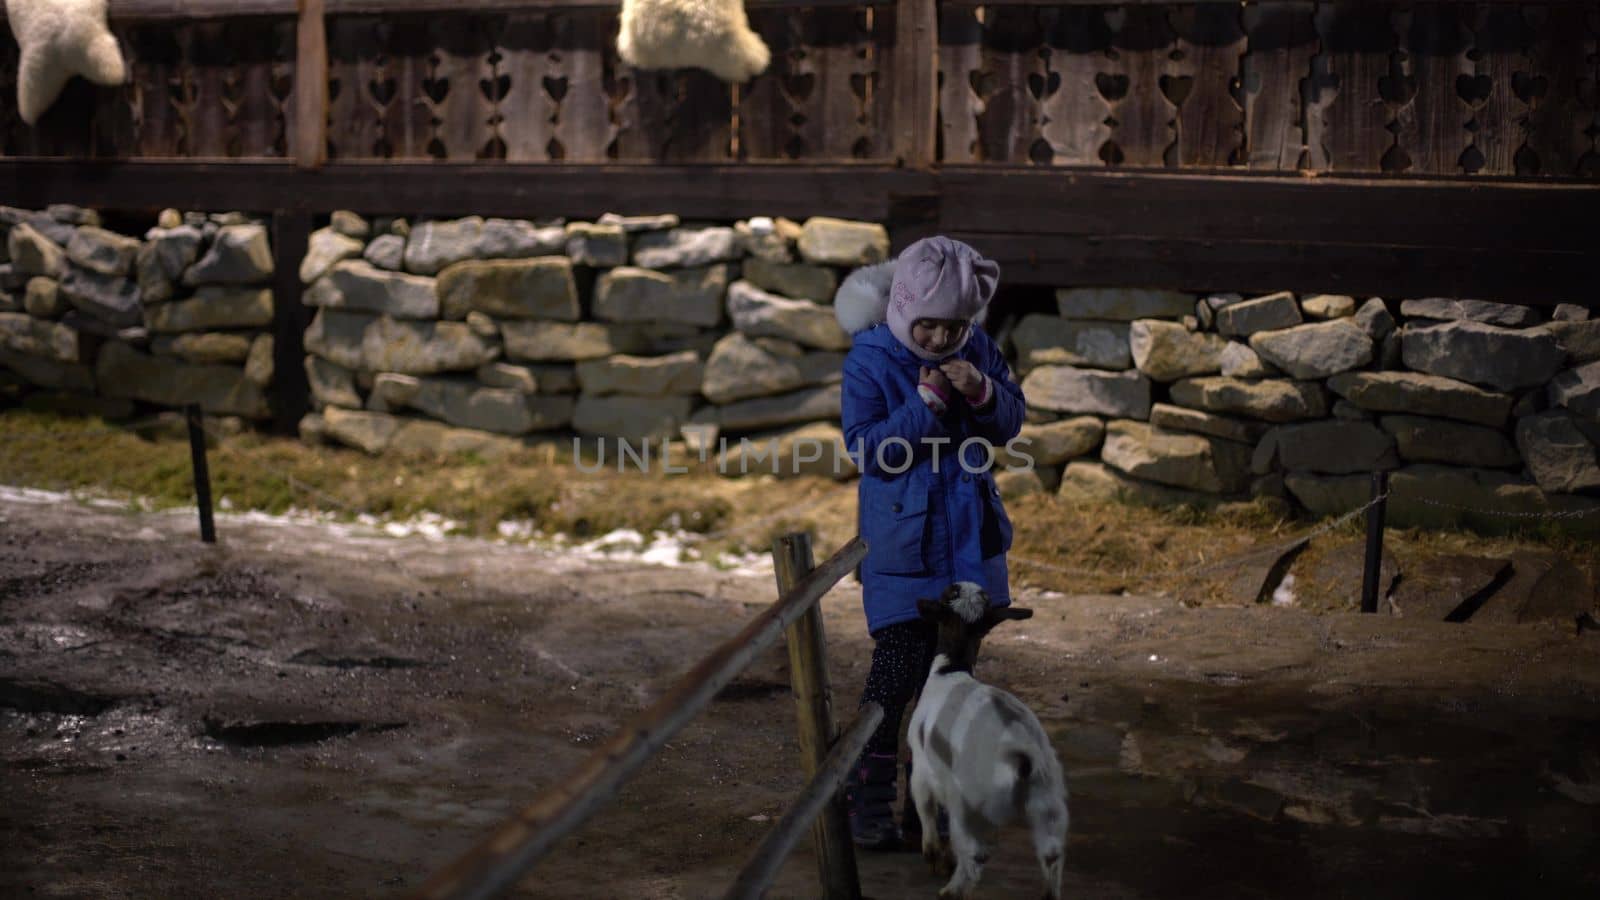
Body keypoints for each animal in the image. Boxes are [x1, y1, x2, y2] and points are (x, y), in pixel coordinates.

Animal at [908, 582, 1068, 896]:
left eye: (948, 593)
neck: (949, 669)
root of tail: (1022, 753)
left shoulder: (921, 767)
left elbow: (925, 807)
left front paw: (933, 856)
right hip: (1047, 796)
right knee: (1052, 853)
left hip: (969, 800)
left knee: (975, 852)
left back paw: (951, 891)